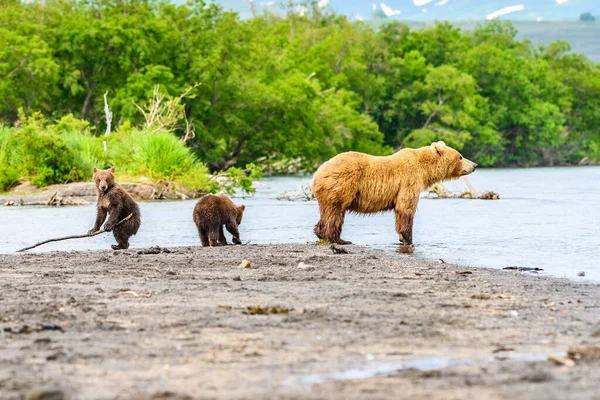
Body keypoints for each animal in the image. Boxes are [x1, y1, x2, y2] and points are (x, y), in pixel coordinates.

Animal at [312, 141, 476, 247]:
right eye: (460, 156)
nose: (475, 165)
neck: (425, 170)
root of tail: (317, 173)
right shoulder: (409, 181)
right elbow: (405, 208)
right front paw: (408, 239)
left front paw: (403, 238)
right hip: (341, 185)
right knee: (336, 212)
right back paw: (338, 239)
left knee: (329, 212)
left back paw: (321, 233)